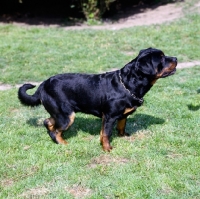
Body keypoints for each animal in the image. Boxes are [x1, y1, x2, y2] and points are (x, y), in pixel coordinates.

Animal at [18, 47, 177, 151]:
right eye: (161, 58)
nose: (175, 58)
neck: (128, 84)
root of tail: (43, 84)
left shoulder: (122, 115)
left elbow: (121, 126)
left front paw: (123, 136)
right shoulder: (109, 117)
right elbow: (105, 134)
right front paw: (107, 149)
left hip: (59, 113)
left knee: (48, 122)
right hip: (67, 116)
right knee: (56, 130)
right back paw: (63, 144)